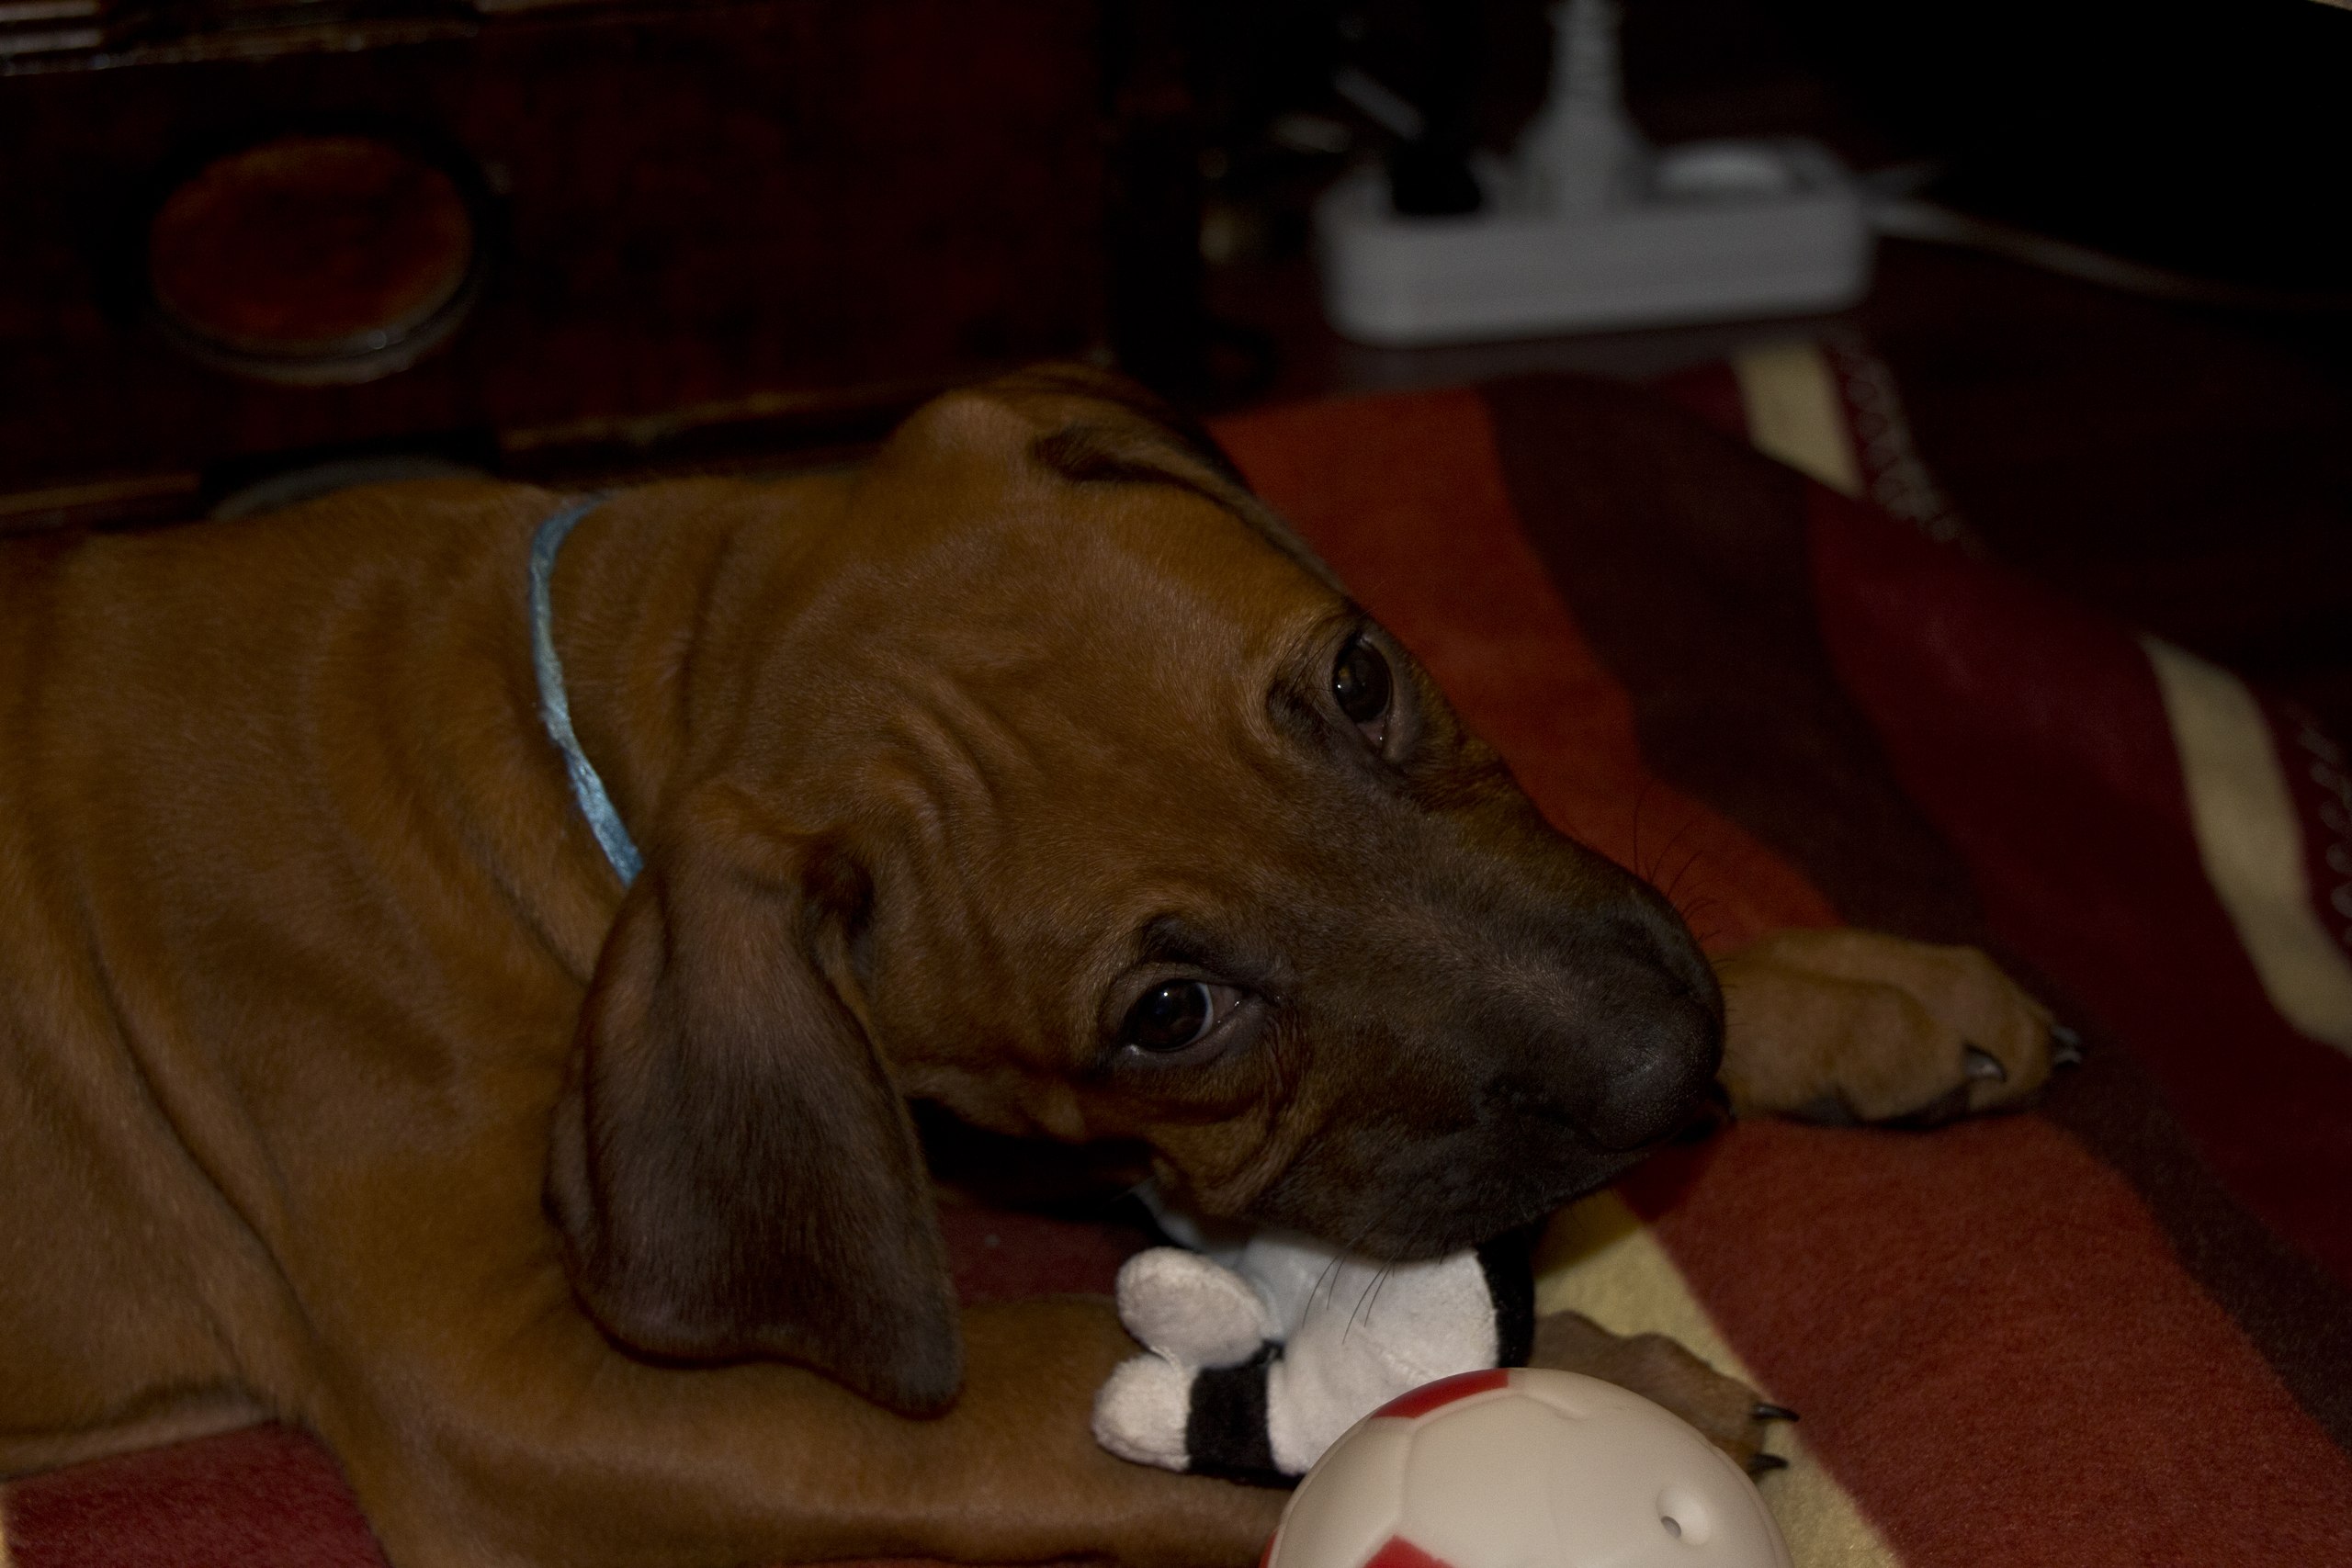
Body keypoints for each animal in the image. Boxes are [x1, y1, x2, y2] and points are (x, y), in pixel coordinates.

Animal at [0, 368, 2061, 1567]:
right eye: (1166, 1014)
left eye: (1360, 677)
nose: (1665, 1066)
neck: (543, 732)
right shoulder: (514, 1395)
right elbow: (1050, 1390)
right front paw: (1618, 1391)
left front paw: (1849, 993)